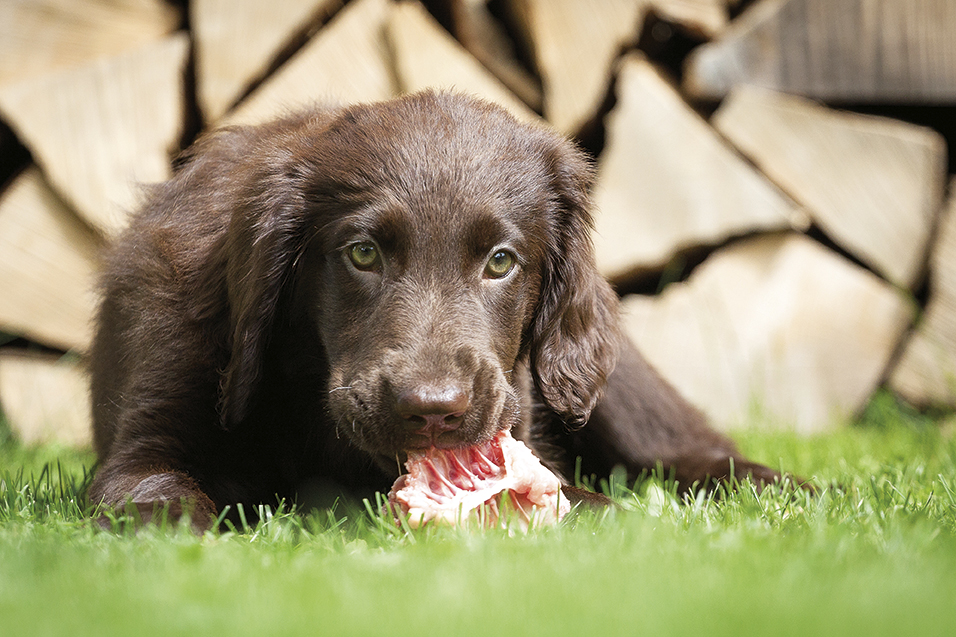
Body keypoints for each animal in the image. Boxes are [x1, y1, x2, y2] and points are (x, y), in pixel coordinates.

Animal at [89, 89, 788, 528]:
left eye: (501, 261)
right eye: (363, 253)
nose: (432, 410)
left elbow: (580, 500)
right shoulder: (150, 433)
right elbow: (156, 499)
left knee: (687, 450)